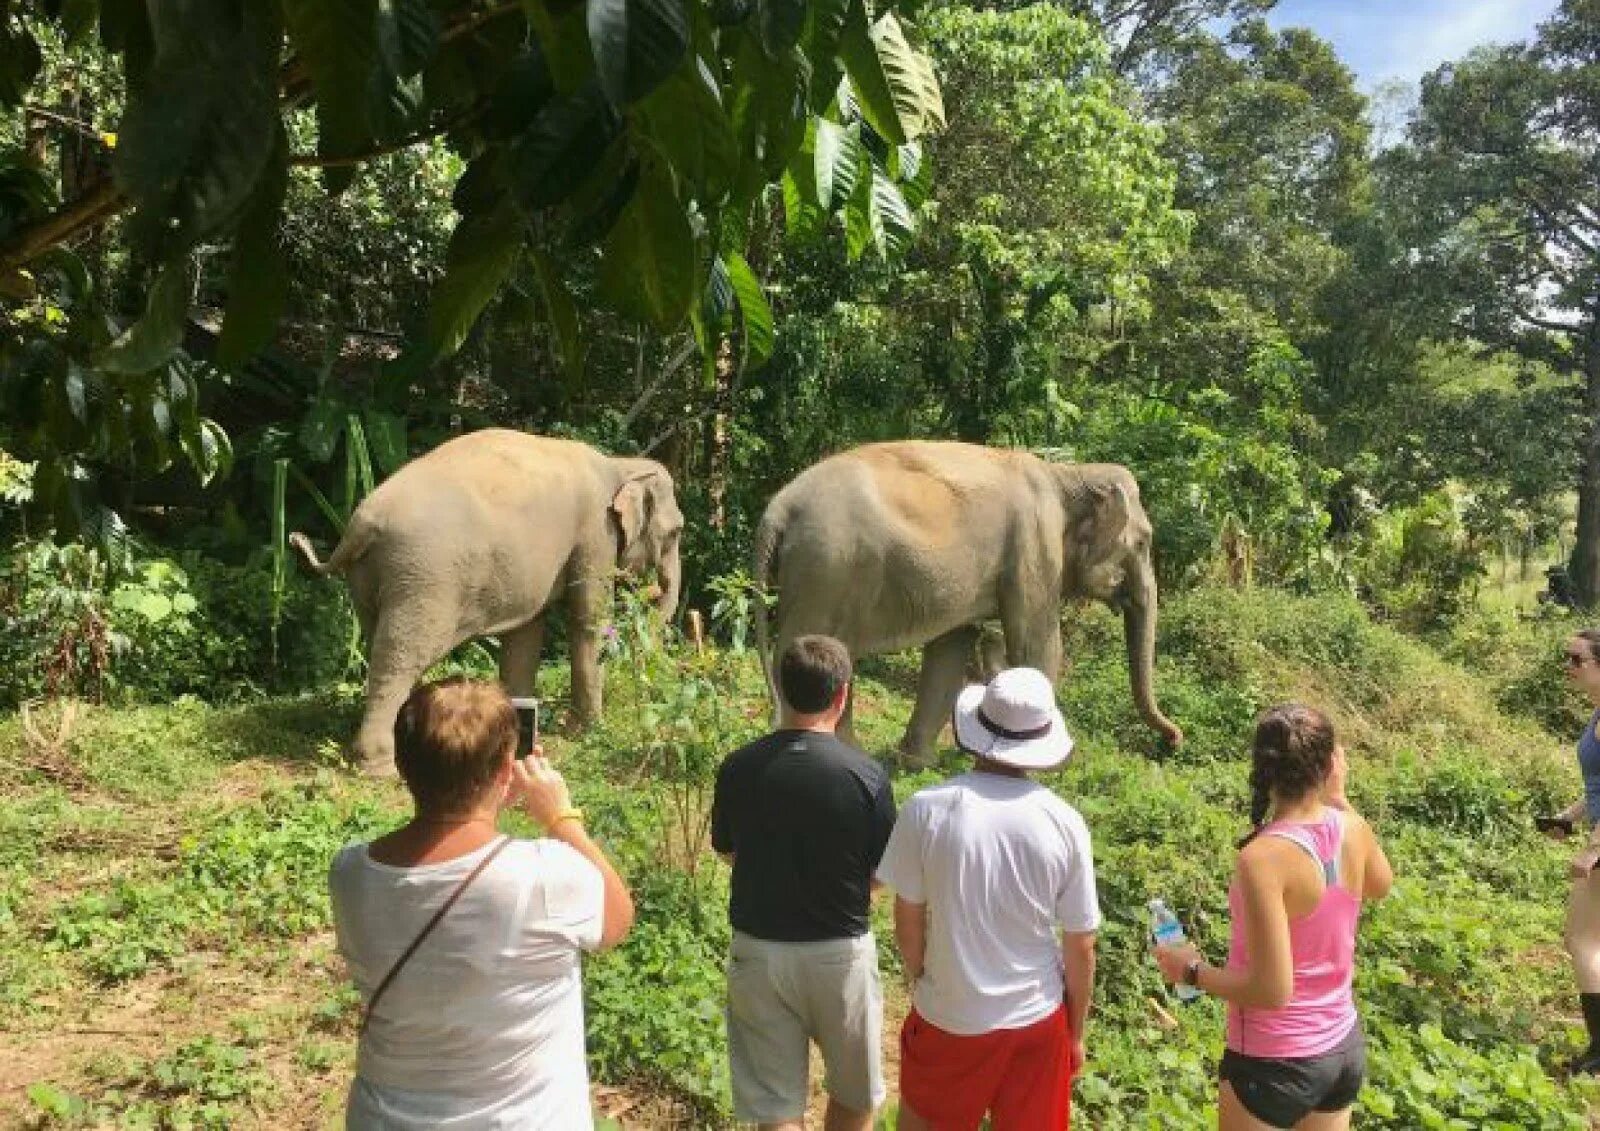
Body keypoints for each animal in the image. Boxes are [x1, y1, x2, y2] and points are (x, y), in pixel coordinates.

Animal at [288, 428, 681, 774]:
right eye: (677, 531)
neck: (621, 464)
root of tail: (358, 527)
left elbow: (525, 634)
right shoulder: (595, 533)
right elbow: (588, 618)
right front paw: (589, 731)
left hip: (368, 578)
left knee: (379, 642)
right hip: (424, 576)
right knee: (401, 655)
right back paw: (381, 767)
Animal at [748, 438, 1177, 764]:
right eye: (1143, 543)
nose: (1172, 742)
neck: (1068, 476)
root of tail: (779, 508)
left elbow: (951, 648)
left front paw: (916, 763)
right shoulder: (1035, 550)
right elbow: (1037, 647)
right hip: (830, 566)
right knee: (805, 643)